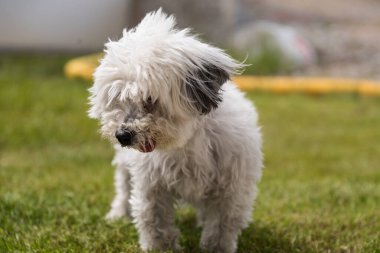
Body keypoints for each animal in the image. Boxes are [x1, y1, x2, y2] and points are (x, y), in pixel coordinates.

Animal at [88, 8, 262, 253]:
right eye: (118, 99)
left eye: (149, 99)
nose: (122, 136)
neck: (187, 141)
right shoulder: (152, 184)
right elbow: (155, 220)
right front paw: (159, 247)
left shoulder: (231, 188)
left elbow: (221, 225)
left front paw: (215, 247)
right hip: (124, 165)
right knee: (123, 187)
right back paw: (118, 214)